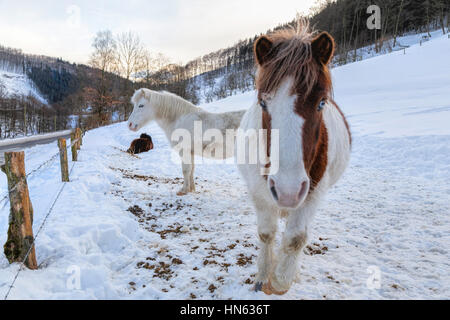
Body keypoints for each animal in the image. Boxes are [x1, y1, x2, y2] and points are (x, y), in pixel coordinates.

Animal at [239, 21, 352, 296]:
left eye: (321, 103)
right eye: (263, 103)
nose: (287, 190)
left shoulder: (312, 194)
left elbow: (295, 239)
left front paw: (281, 279)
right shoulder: (260, 193)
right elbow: (266, 234)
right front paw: (263, 276)